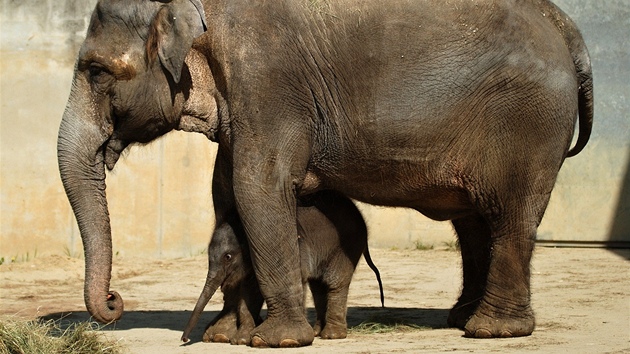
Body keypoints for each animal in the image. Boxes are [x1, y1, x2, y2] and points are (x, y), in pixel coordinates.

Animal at [183, 192, 386, 344]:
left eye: (228, 257)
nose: (184, 340)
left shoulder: (296, 252)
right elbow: (250, 293)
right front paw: (241, 340)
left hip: (346, 248)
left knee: (335, 283)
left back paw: (331, 336)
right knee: (318, 286)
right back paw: (317, 332)